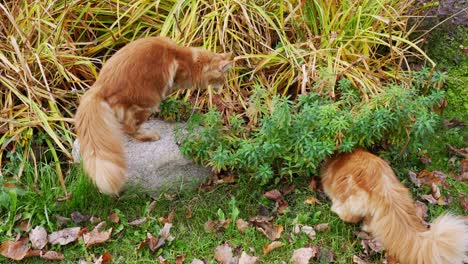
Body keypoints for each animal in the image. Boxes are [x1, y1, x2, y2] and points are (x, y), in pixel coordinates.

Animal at [75, 36, 234, 195]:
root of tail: (100, 86)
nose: (224, 87)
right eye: (223, 78)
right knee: (129, 128)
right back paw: (149, 135)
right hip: (146, 101)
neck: (191, 60)